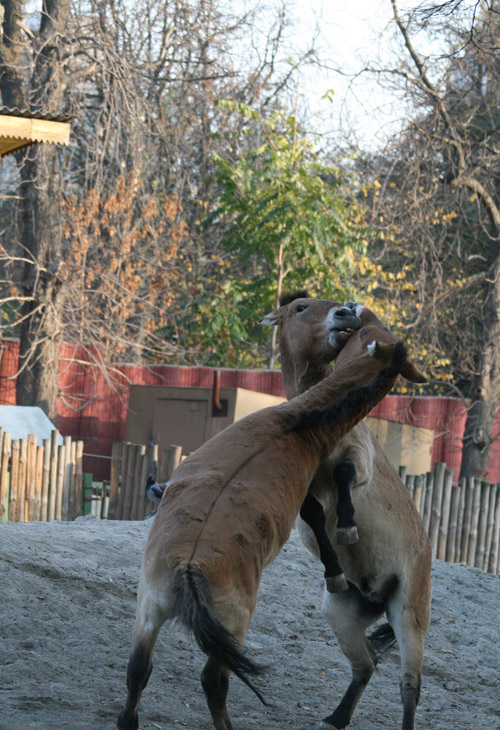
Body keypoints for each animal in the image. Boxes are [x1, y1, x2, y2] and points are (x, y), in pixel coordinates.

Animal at [117, 314, 418, 728]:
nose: (350, 313)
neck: (296, 424)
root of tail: (189, 568)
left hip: (154, 611)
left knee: (144, 669)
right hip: (211, 622)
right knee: (201, 678)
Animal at [262, 292, 434, 728]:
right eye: (301, 307)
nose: (345, 311)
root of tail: (377, 598)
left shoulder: (360, 461)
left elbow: (343, 476)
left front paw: (348, 528)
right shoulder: (303, 490)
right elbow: (313, 514)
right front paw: (334, 569)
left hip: (409, 615)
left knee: (410, 686)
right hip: (342, 617)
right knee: (366, 664)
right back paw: (336, 718)